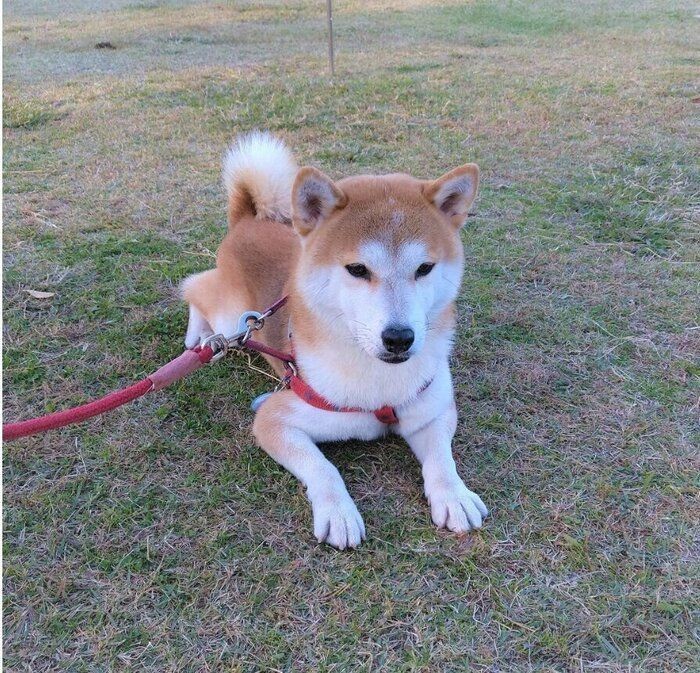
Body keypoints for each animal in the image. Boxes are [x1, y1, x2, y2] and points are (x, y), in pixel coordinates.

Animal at [180, 131, 486, 544]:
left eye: (425, 268)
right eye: (357, 269)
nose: (399, 338)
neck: (379, 382)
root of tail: (248, 220)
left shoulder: (433, 410)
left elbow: (441, 457)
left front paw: (454, 495)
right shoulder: (276, 419)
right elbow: (323, 467)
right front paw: (338, 512)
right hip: (231, 316)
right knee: (196, 286)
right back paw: (199, 334)